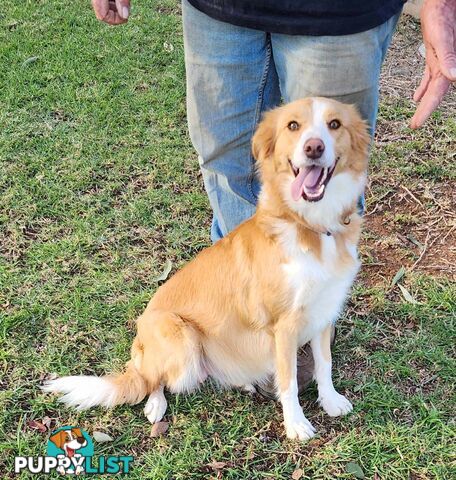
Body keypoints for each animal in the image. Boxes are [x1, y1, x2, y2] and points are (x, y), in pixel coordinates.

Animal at [43, 98, 370, 442]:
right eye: (293, 125)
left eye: (334, 124)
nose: (314, 148)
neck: (310, 224)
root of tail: (140, 338)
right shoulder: (284, 326)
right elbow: (289, 381)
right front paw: (295, 423)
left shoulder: (324, 311)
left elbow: (324, 364)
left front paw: (330, 399)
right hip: (181, 338)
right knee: (151, 380)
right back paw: (156, 404)